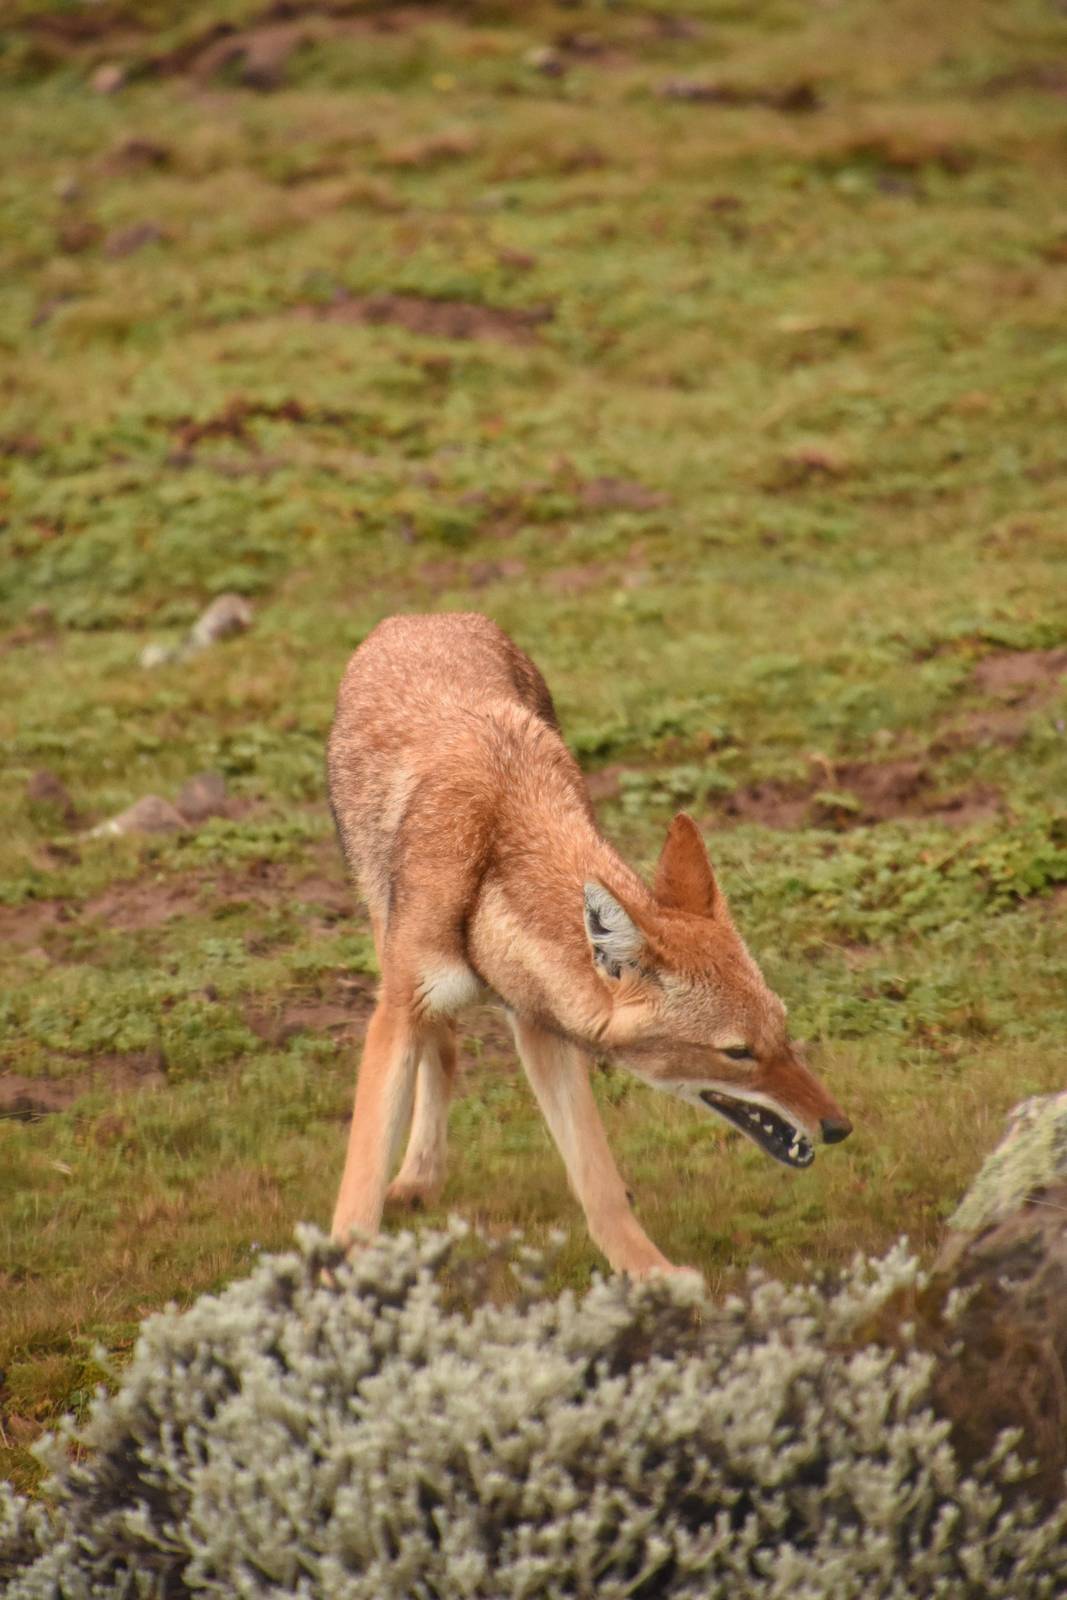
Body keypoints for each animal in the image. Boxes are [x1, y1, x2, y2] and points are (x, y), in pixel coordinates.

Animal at [327, 612, 851, 1275]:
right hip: (391, 957)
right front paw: (339, 1268)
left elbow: (595, 1178)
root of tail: (420, 617)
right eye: (737, 1052)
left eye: (783, 1032)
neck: (496, 847)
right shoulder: (399, 1013)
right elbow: (361, 1182)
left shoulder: (539, 1024)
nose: (838, 1127)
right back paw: (418, 1178)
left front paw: (649, 1273)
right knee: (440, 1048)